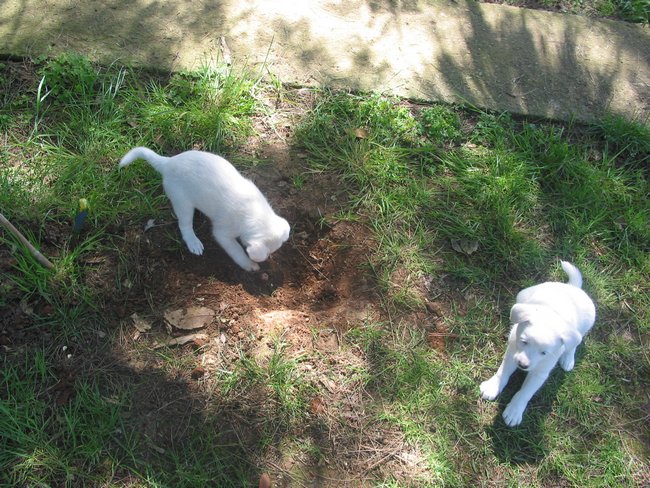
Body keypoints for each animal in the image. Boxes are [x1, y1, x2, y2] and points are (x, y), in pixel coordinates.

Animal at [119, 147, 290, 272]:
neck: (255, 213)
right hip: (182, 203)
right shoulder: (223, 234)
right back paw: (193, 242)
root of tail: (168, 162)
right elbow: (236, 251)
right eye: (268, 252)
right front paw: (249, 264)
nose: (268, 258)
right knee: (185, 225)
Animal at [480, 261, 596, 427]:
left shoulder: (540, 373)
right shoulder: (512, 352)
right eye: (524, 342)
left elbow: (525, 392)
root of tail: (572, 287)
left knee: (574, 344)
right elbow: (503, 372)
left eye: (544, 353)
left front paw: (515, 410)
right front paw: (492, 387)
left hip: (586, 323)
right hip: (523, 295)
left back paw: (568, 359)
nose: (523, 365)